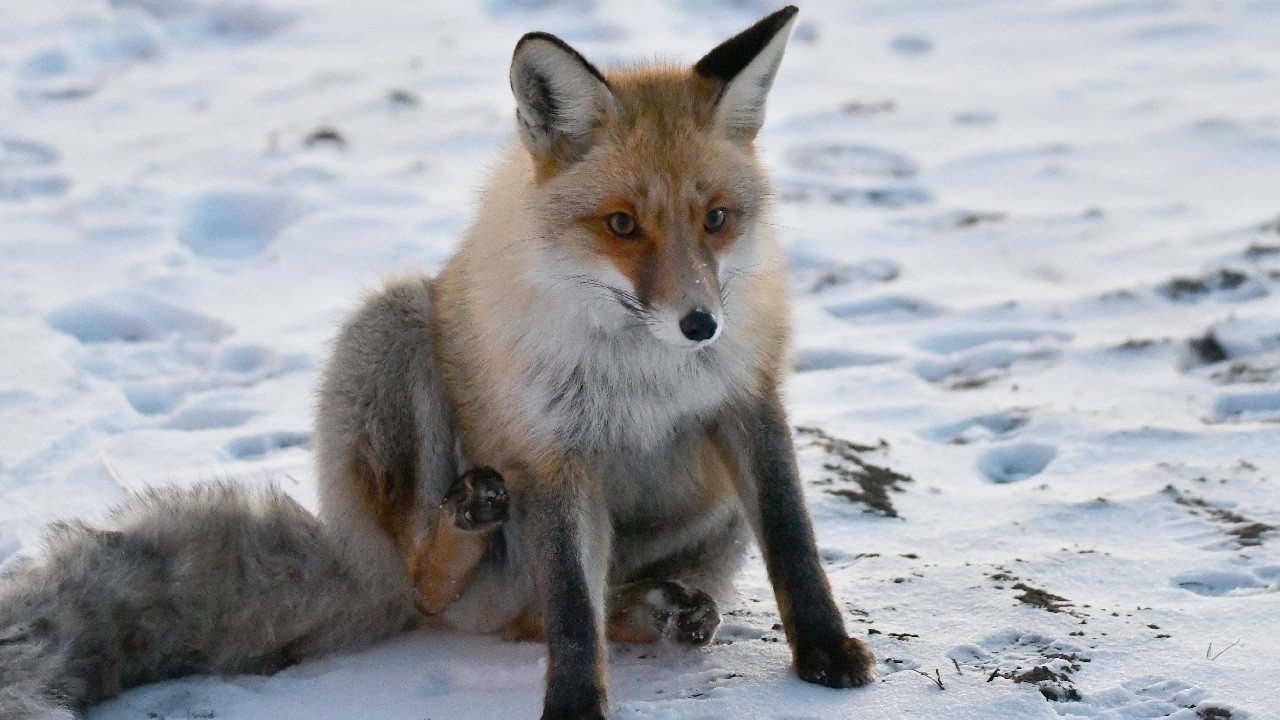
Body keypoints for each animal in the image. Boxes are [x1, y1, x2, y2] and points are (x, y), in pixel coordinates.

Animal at [0, 5, 870, 717]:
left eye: (717, 219)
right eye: (622, 225)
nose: (700, 325)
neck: (645, 374)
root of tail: (358, 564)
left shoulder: (749, 402)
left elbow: (794, 543)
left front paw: (825, 652)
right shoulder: (552, 451)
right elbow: (572, 612)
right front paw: (574, 706)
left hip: (707, 506)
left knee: (541, 618)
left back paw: (663, 609)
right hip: (395, 330)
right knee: (438, 585)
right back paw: (468, 526)